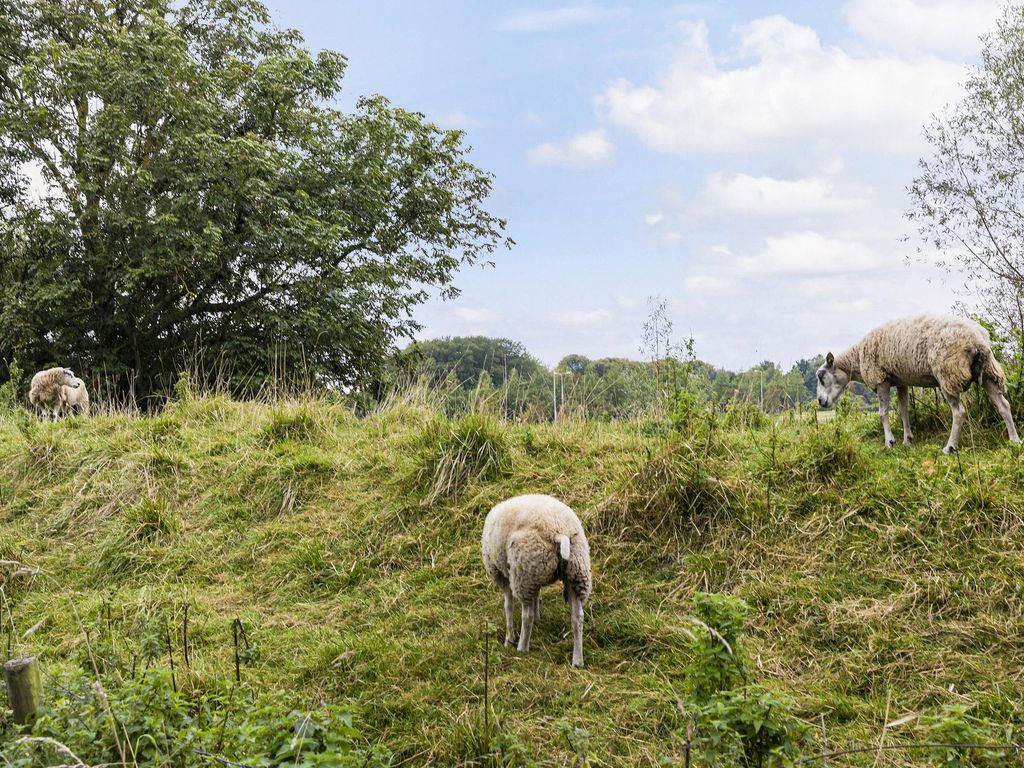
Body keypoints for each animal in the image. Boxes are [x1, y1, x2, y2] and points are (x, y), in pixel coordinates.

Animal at [479, 493, 593, 667]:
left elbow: (508, 606)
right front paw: (539, 619)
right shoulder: (535, 579)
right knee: (578, 617)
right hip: (576, 572)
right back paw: (577, 660)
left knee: (527, 615)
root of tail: (558, 531)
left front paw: (509, 639)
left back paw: (522, 647)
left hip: (523, 573)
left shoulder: (502, 575)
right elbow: (536, 597)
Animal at [815, 313, 1015, 454]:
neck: (856, 359)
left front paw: (890, 442)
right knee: (1003, 405)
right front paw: (907, 440)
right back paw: (1014, 440)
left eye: (821, 376)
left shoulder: (881, 379)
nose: (820, 402)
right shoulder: (901, 381)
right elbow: (903, 411)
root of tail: (978, 340)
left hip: (947, 372)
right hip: (987, 371)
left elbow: (883, 412)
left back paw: (950, 447)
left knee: (959, 412)